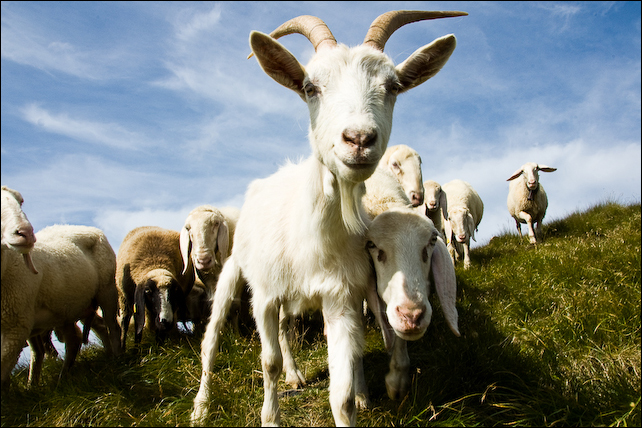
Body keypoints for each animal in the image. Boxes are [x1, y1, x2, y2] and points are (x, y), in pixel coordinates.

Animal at [1, 194, 122, 388]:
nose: (24, 233)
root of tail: (82, 227)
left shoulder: (16, 327)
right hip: (71, 308)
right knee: (76, 339)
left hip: (106, 291)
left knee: (112, 326)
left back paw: (117, 360)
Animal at [190, 10, 465, 426]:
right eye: (309, 88)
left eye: (393, 86)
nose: (359, 139)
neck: (312, 238)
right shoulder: (265, 295)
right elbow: (267, 362)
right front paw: (270, 417)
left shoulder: (340, 299)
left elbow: (342, 395)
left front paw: (354, 397)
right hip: (234, 271)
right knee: (212, 339)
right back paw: (201, 406)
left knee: (285, 331)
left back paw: (295, 374)